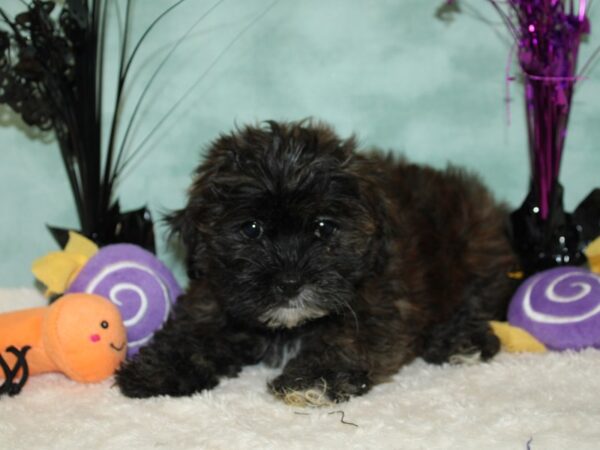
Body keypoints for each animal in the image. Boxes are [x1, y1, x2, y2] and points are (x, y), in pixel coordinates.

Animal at [115, 118, 516, 400]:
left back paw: (461, 340)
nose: (290, 283)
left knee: (475, 298)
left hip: (475, 245)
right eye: (251, 229)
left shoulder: (378, 302)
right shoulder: (214, 294)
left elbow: (349, 340)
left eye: (324, 227)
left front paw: (314, 380)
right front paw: (157, 369)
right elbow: (193, 330)